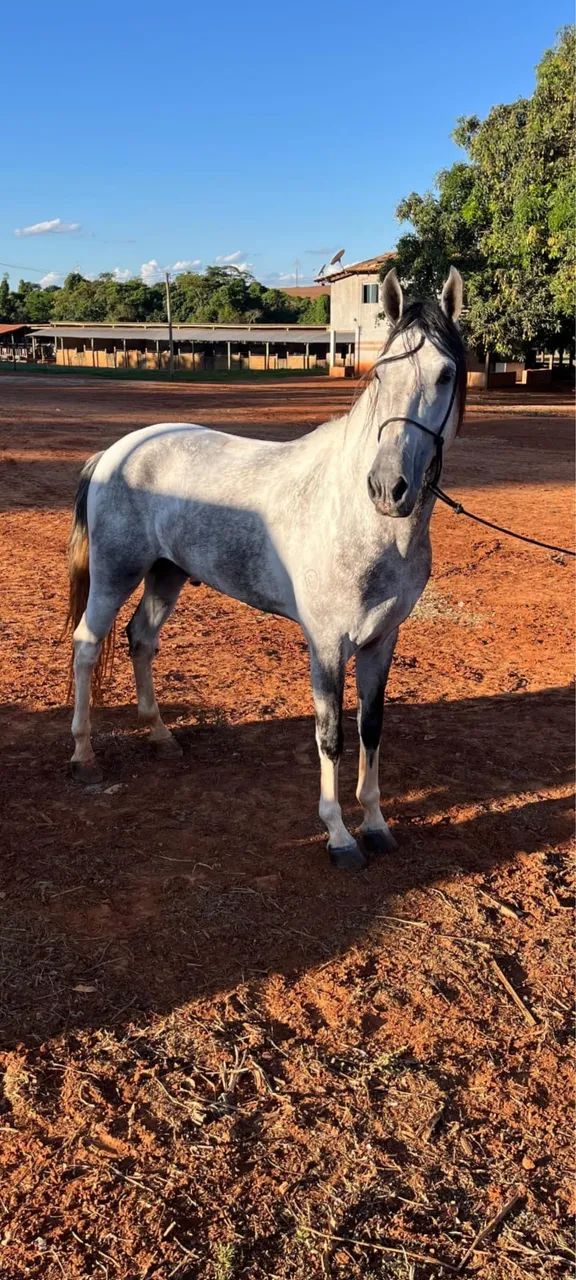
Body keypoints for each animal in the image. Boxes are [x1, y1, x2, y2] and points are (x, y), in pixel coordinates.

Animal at [66, 267, 466, 870]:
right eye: (379, 376)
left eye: (445, 374)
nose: (389, 487)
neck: (361, 520)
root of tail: (119, 450)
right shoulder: (326, 644)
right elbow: (331, 736)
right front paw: (339, 835)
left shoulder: (382, 640)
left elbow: (371, 728)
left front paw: (375, 824)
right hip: (116, 575)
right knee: (88, 645)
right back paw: (84, 754)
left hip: (167, 573)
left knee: (141, 639)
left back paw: (160, 735)